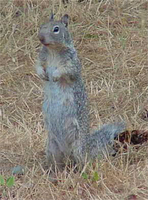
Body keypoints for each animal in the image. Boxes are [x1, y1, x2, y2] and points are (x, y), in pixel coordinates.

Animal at [35, 14, 125, 171]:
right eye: (42, 25)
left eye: (56, 29)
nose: (40, 38)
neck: (53, 51)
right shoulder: (42, 58)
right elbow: (39, 66)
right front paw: (42, 74)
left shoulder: (73, 64)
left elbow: (67, 71)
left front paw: (55, 76)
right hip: (52, 148)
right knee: (57, 163)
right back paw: (54, 172)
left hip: (78, 148)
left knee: (83, 163)